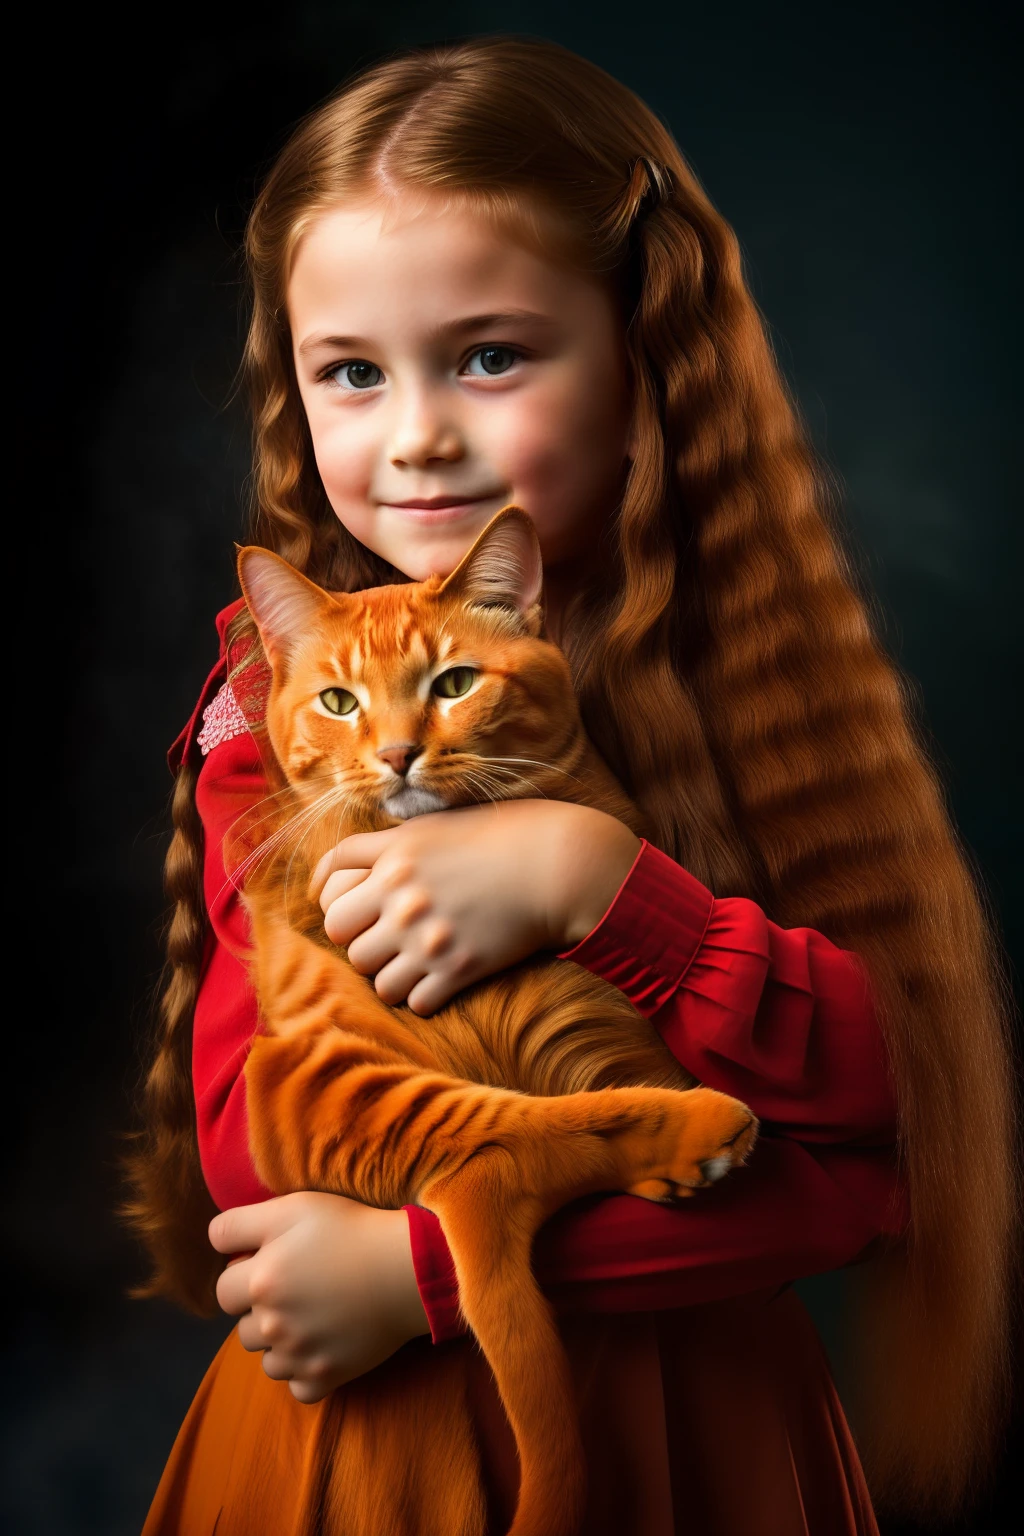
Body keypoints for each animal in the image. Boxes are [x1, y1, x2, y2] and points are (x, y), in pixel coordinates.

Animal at [236, 509, 758, 1529]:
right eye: (340, 702)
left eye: (453, 683)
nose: (398, 753)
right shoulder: (298, 1068)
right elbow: (527, 1122)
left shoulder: (608, 1034)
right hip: (324, 1088)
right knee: (496, 1144)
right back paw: (696, 1133)